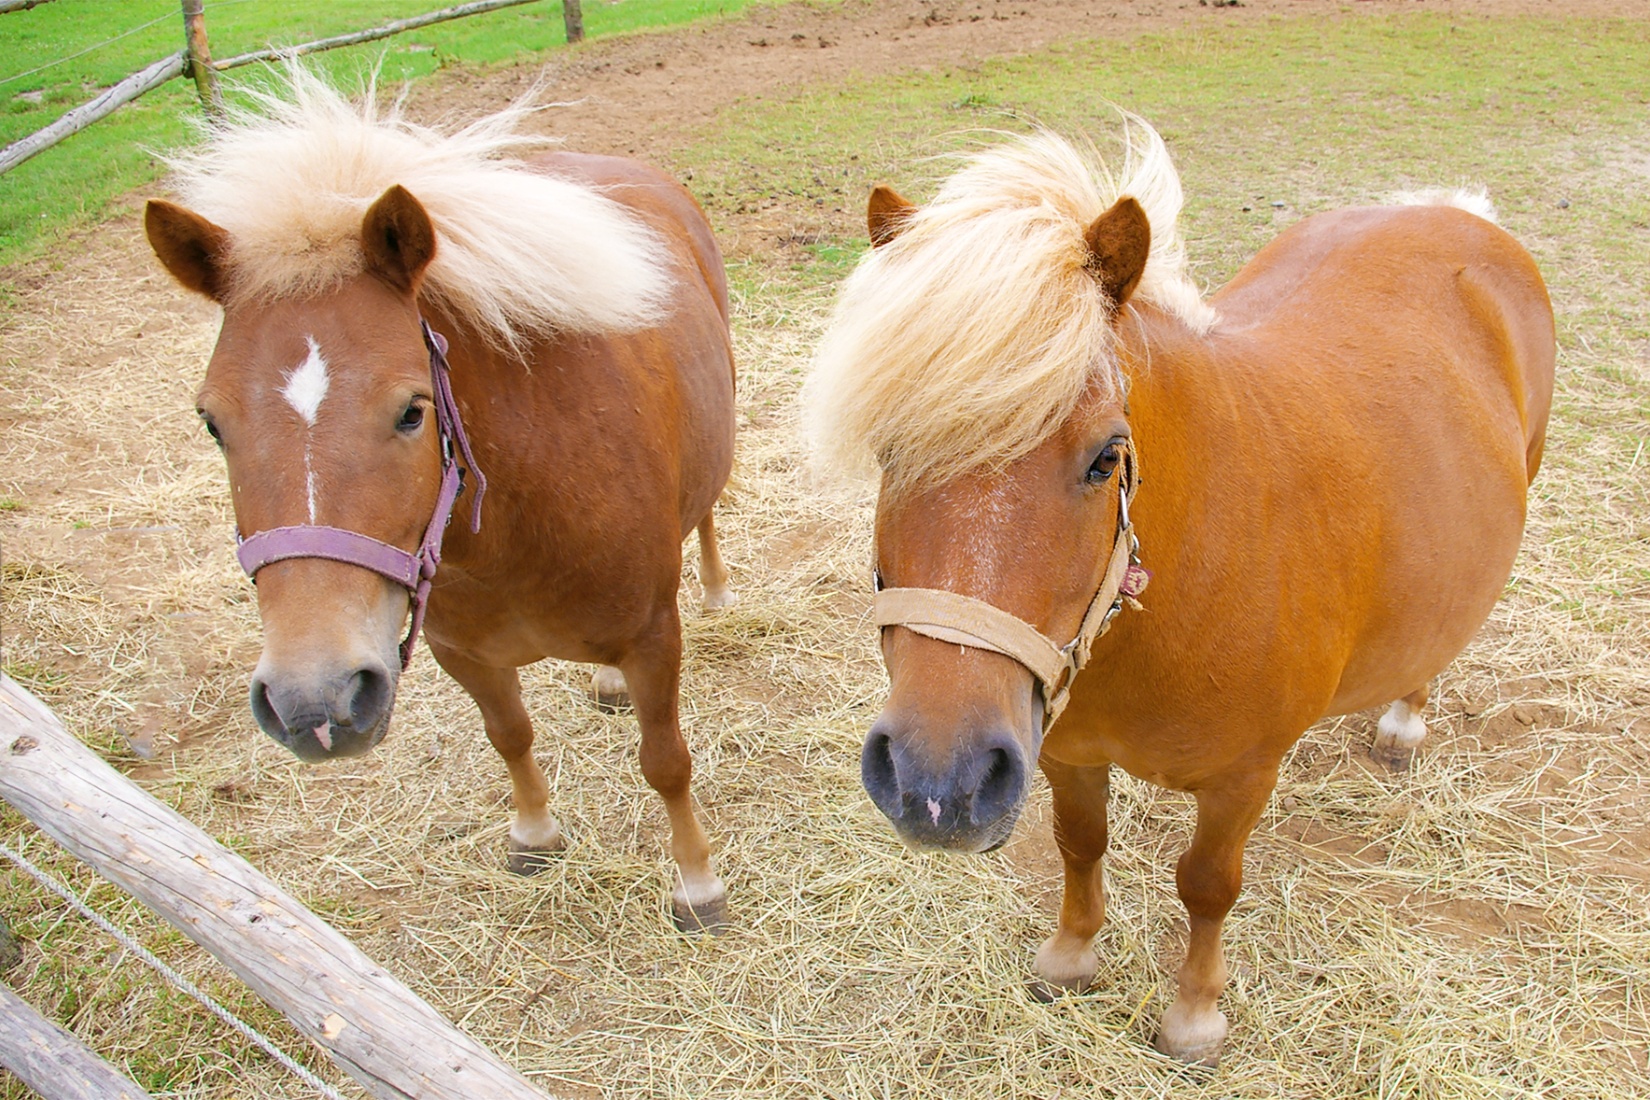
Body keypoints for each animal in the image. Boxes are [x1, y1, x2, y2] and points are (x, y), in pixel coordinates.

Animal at [148, 68, 742, 930]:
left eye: (410, 410)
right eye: (211, 420)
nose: (313, 699)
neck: (515, 526)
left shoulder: (653, 638)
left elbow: (665, 761)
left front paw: (696, 882)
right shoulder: (461, 653)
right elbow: (510, 735)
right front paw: (534, 832)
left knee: (707, 512)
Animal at [805, 122, 1551, 1068]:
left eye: (1105, 458)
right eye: (889, 452)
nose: (939, 782)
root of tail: (1451, 210)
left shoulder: (1242, 778)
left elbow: (1206, 885)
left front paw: (1195, 1013)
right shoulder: (1062, 748)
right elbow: (1079, 844)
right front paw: (1071, 956)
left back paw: (1404, 722)